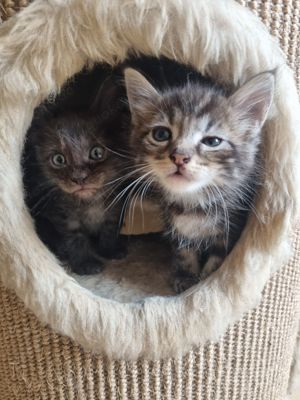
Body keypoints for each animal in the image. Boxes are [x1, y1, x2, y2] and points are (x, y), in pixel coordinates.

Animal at [23, 82, 129, 276]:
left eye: (97, 152)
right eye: (58, 159)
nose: (79, 178)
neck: (90, 203)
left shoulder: (115, 207)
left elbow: (109, 228)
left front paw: (110, 250)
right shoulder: (62, 217)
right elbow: (75, 239)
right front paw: (85, 263)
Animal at [123, 68, 274, 294]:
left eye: (212, 141)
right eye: (161, 134)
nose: (179, 157)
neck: (194, 203)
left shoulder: (231, 228)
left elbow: (217, 261)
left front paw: (205, 285)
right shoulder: (175, 227)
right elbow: (184, 252)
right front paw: (186, 278)